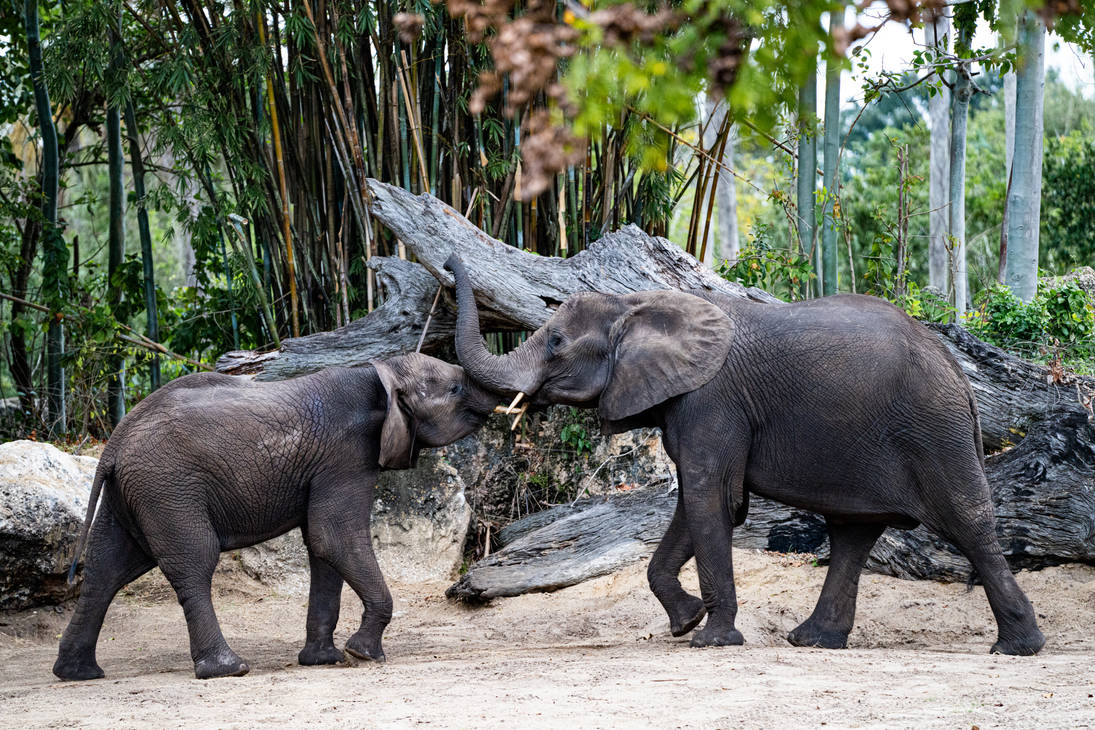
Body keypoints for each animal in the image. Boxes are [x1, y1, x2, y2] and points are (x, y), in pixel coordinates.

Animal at [53, 353, 498, 681]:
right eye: (455, 389)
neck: (378, 376)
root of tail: (112, 445)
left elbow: (322, 547)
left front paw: (324, 661)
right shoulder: (346, 456)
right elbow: (334, 537)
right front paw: (363, 654)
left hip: (132, 493)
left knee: (107, 569)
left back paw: (79, 674)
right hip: (167, 488)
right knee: (193, 562)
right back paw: (229, 669)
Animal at [444, 254, 1045, 656]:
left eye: (555, 343)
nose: (450, 264)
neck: (639, 304)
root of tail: (959, 374)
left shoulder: (712, 402)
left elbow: (712, 500)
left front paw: (710, 640)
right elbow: (697, 504)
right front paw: (685, 623)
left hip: (934, 431)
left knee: (968, 525)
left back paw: (1017, 648)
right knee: (853, 534)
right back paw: (812, 641)